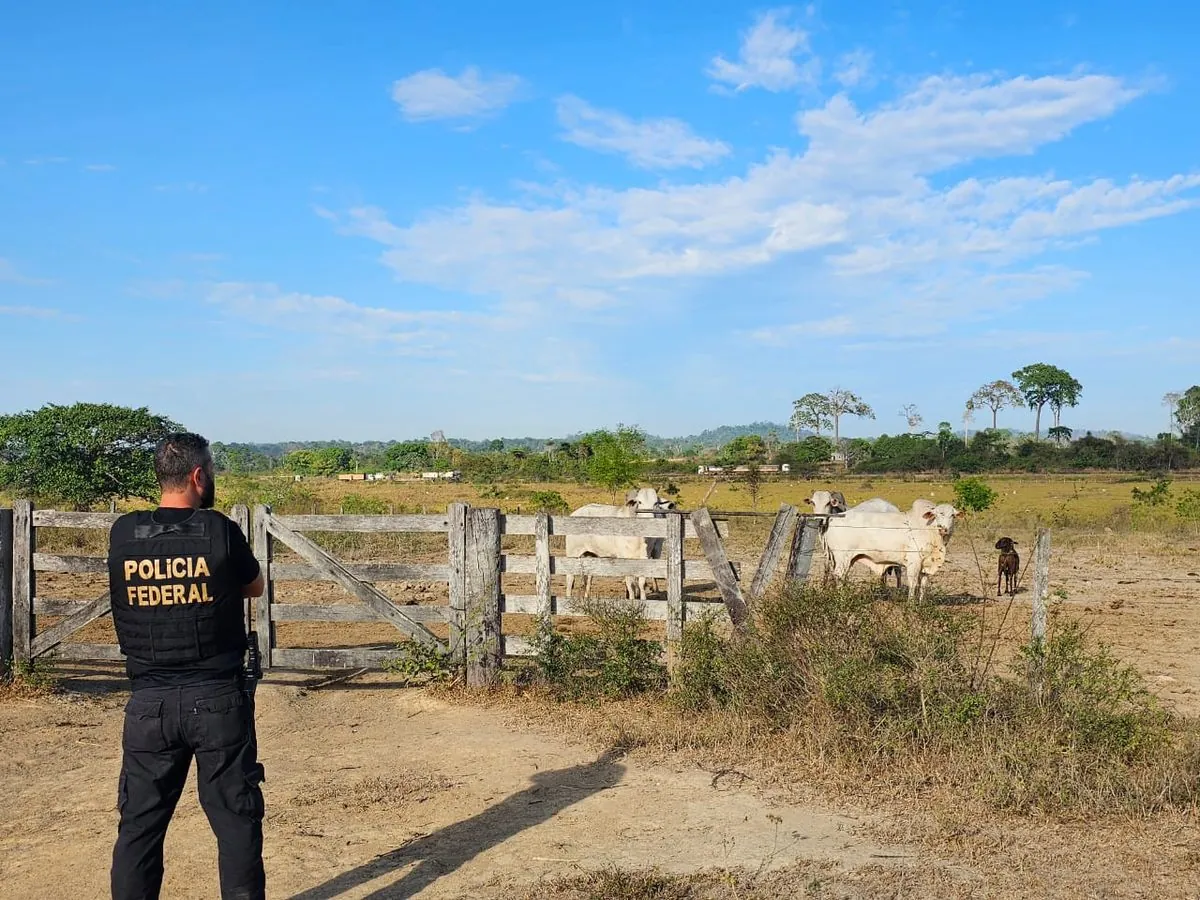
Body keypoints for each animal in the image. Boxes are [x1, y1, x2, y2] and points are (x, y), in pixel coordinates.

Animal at [820, 504, 960, 602]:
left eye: (952, 515)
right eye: (938, 514)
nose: (944, 528)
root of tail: (832, 519)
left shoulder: (926, 565)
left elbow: (923, 585)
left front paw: (921, 604)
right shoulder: (914, 563)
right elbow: (913, 583)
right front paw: (911, 604)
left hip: (847, 559)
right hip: (843, 557)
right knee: (839, 576)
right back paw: (841, 599)